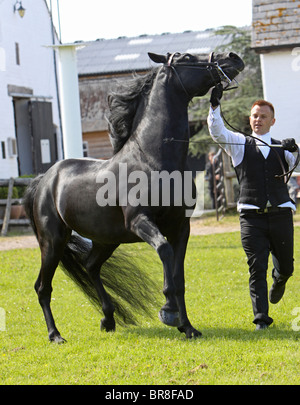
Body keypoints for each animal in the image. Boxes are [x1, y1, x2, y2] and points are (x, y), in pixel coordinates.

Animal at [23, 50, 244, 340]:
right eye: (186, 57)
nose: (233, 57)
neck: (152, 159)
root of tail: (44, 180)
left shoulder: (180, 227)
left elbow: (179, 277)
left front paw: (187, 327)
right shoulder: (140, 222)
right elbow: (164, 252)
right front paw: (168, 311)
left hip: (106, 240)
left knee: (91, 266)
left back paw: (108, 319)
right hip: (53, 242)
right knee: (42, 287)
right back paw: (55, 335)